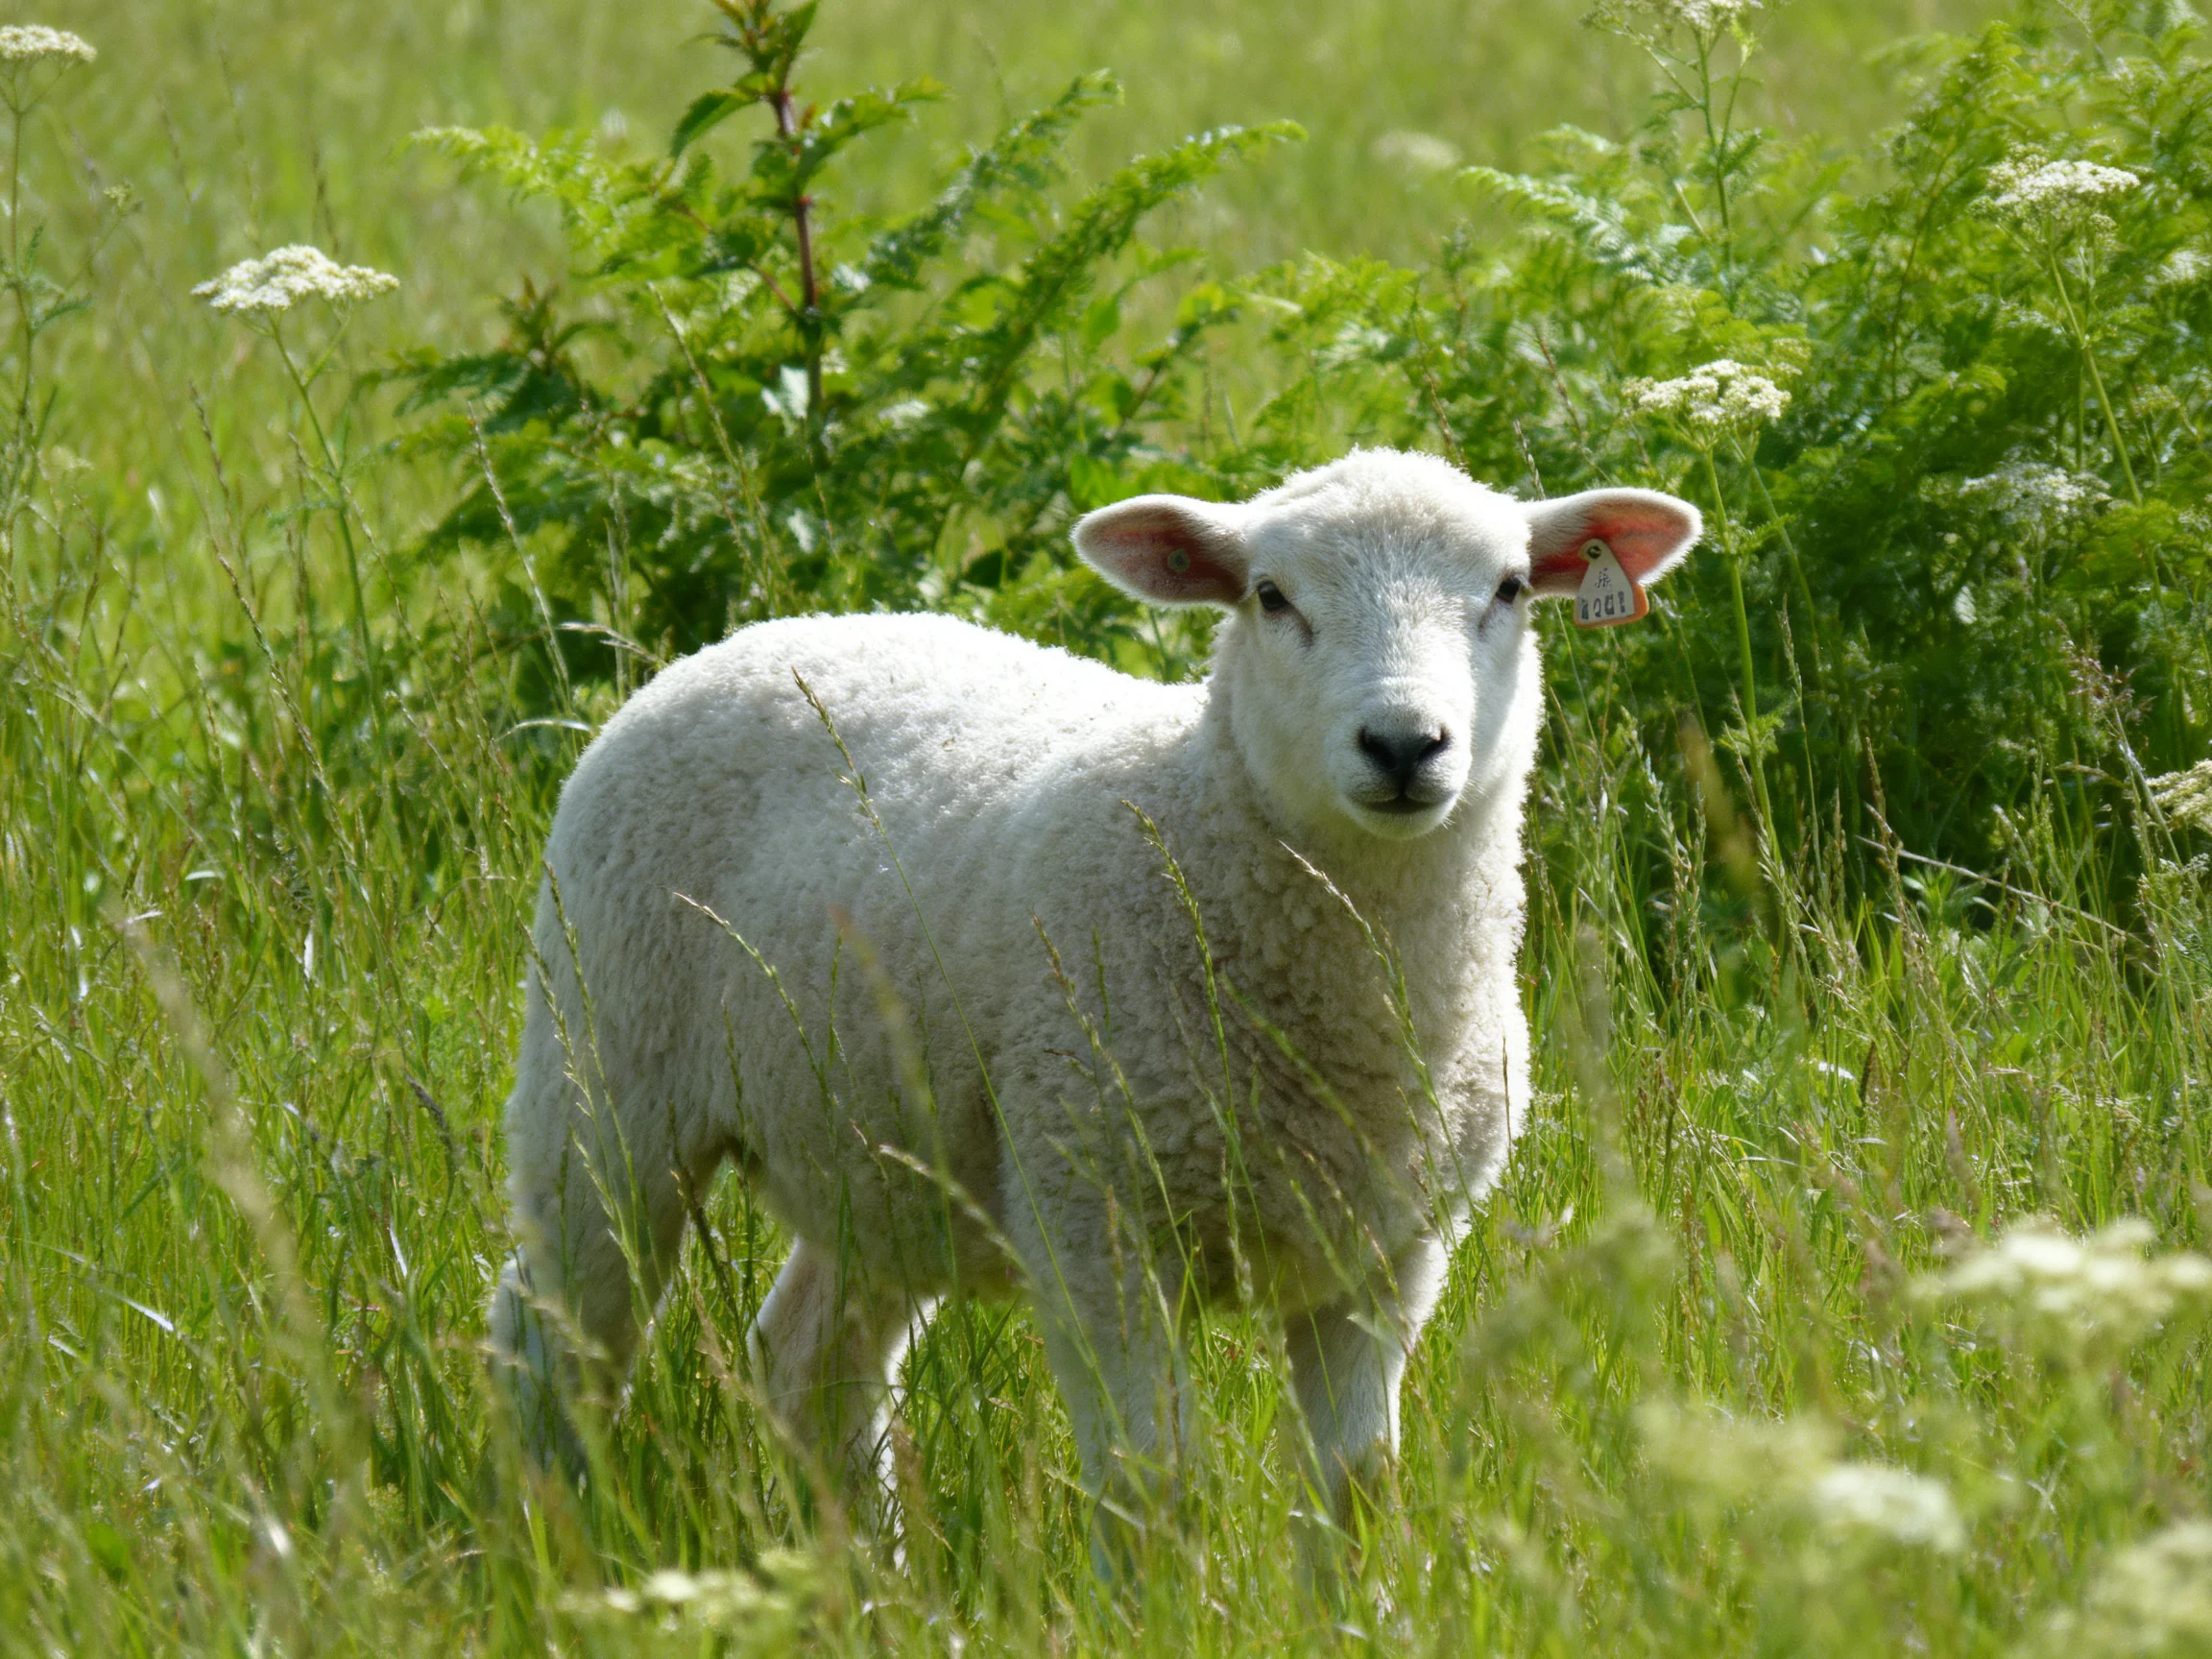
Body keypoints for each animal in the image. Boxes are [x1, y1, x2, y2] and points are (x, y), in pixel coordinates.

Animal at [487, 446, 1699, 1543]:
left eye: (1509, 590)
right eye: (1271, 597)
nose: (1405, 745)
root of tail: (757, 634)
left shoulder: (1386, 1254)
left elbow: (1352, 1491)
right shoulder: (1094, 1219)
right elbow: (1152, 1485)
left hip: (882, 1155)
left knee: (809, 1359)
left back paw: (872, 1576)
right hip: (604, 1069)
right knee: (551, 1337)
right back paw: (546, 1544)